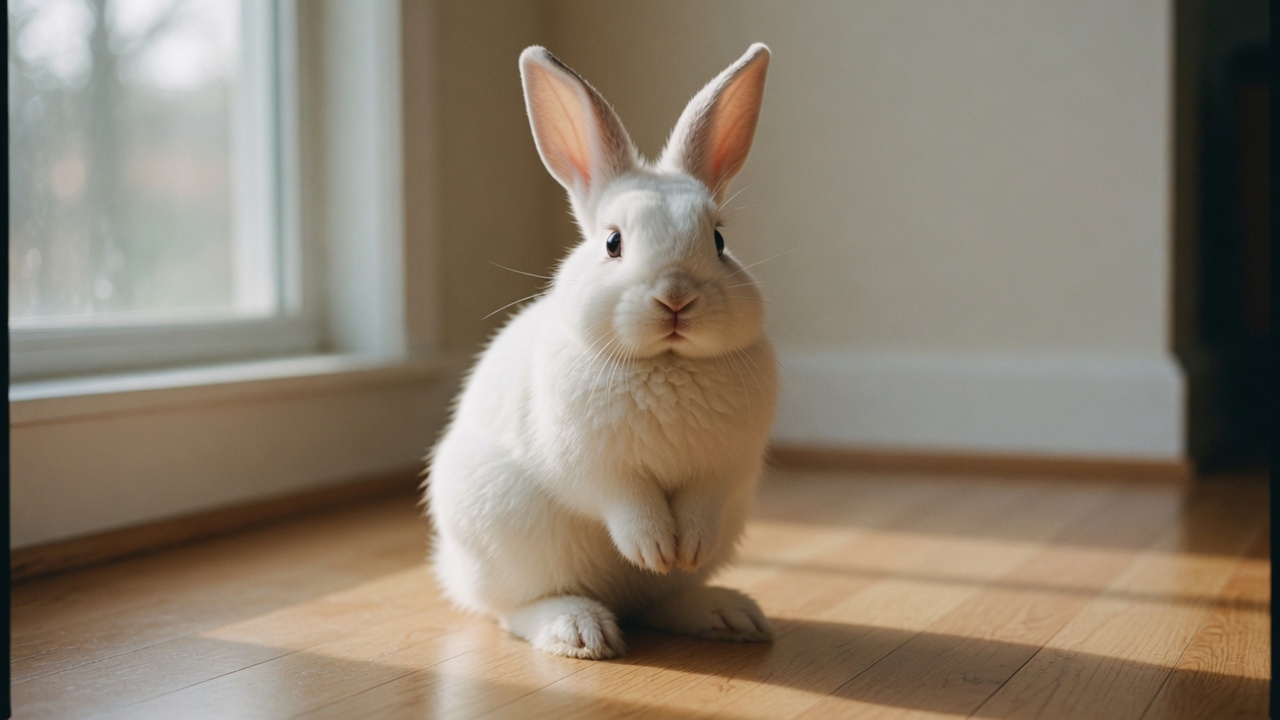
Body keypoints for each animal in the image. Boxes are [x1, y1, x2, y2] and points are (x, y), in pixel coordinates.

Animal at [425, 43, 777, 660]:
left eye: (719, 241)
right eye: (613, 243)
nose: (676, 297)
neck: (666, 363)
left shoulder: (723, 472)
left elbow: (701, 509)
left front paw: (683, 550)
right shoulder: (596, 469)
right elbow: (627, 504)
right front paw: (656, 548)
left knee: (658, 602)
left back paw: (726, 613)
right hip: (506, 538)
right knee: (512, 609)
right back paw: (579, 629)